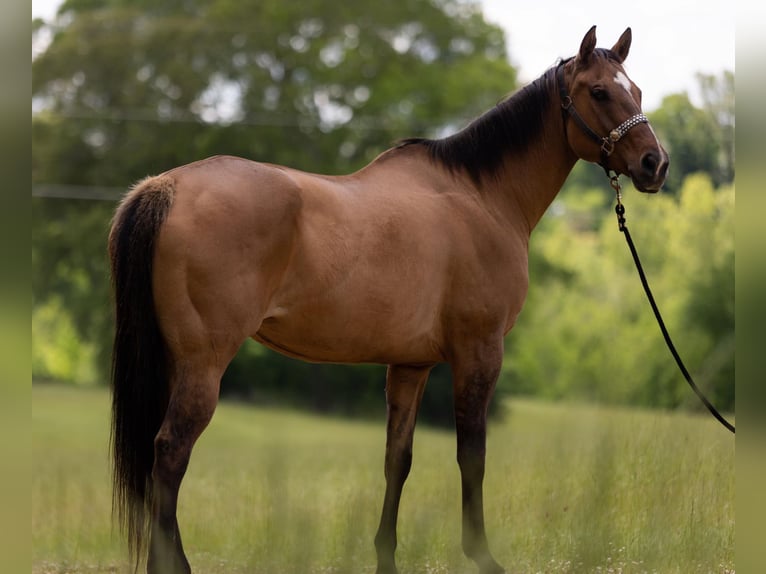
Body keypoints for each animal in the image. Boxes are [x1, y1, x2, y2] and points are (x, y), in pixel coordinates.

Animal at [109, 24, 672, 572]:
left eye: (638, 91)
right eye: (599, 92)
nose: (656, 163)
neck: (483, 197)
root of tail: (166, 187)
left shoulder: (410, 364)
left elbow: (397, 459)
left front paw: (386, 555)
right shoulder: (479, 352)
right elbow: (472, 455)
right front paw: (481, 554)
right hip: (204, 362)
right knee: (170, 454)